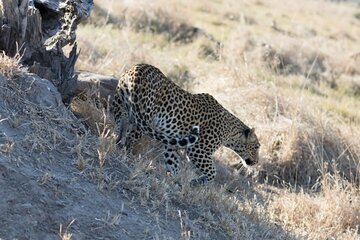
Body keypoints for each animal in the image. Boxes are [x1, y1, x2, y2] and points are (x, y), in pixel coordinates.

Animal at [111, 63, 260, 186]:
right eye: (257, 147)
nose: (257, 161)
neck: (230, 132)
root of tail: (136, 70)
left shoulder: (171, 145)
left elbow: (173, 163)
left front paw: (174, 180)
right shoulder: (198, 150)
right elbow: (212, 172)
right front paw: (197, 182)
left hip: (120, 105)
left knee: (118, 127)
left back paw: (114, 143)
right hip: (143, 119)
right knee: (129, 139)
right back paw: (127, 156)